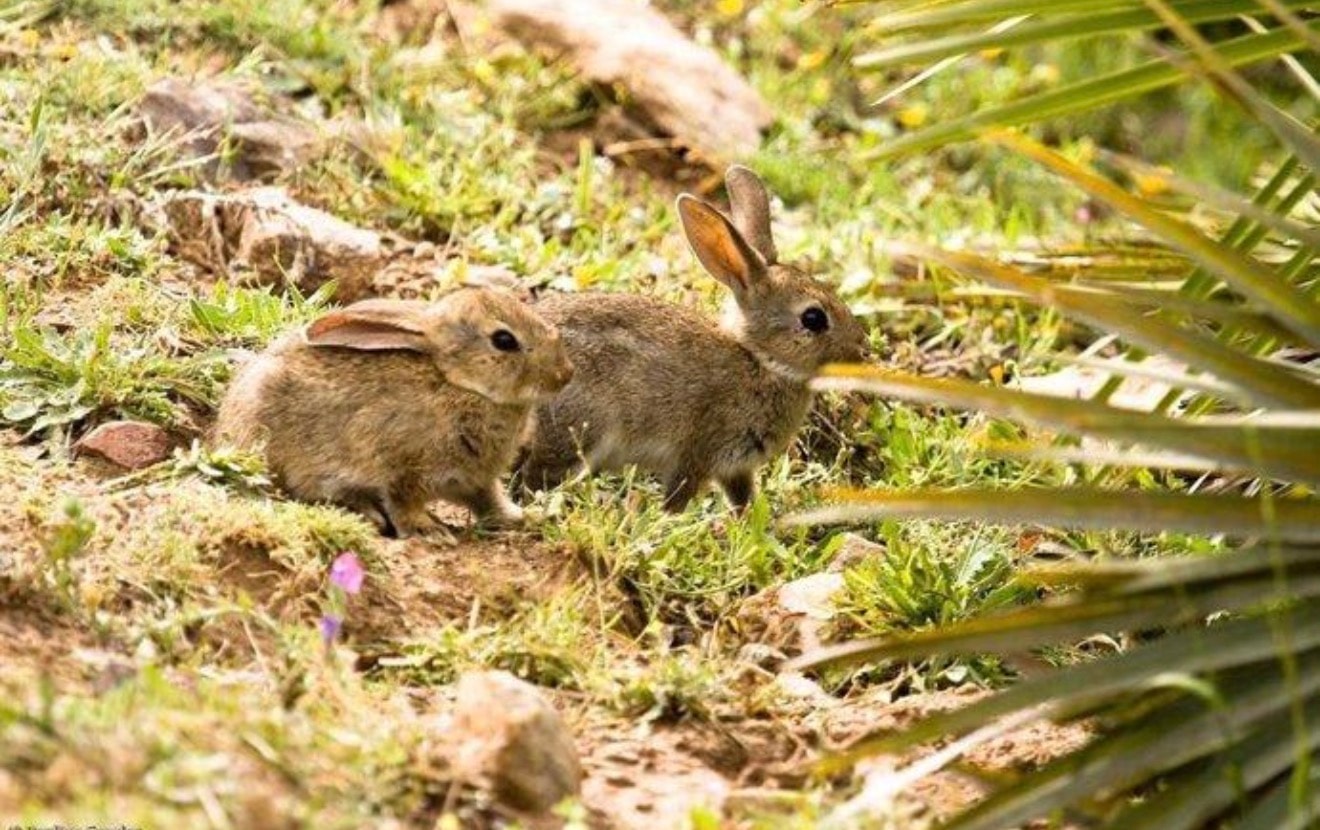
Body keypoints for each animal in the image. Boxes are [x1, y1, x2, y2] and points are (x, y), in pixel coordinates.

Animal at [214, 287, 574, 537]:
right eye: (503, 340)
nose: (565, 374)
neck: (460, 385)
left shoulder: (477, 480)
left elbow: (490, 502)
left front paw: (526, 517)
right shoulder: (396, 461)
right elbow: (402, 500)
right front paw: (428, 531)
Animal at [519, 166, 869, 512]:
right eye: (813, 319)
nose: (860, 351)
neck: (759, 360)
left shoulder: (736, 468)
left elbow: (742, 499)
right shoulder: (699, 451)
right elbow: (680, 492)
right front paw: (669, 516)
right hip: (582, 427)